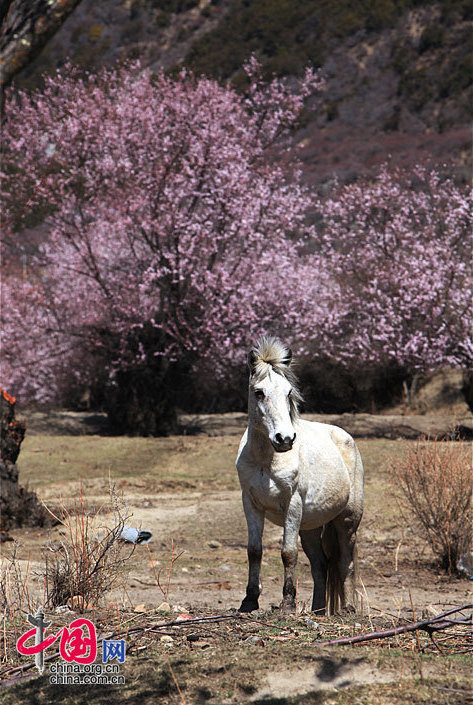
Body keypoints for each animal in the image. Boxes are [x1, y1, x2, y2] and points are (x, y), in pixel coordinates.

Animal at [238, 338, 364, 612]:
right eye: (259, 392)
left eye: (288, 393)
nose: (284, 439)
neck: (266, 460)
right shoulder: (251, 504)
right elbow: (254, 551)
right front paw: (249, 600)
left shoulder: (292, 505)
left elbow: (288, 553)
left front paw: (287, 603)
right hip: (310, 527)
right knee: (320, 565)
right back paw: (318, 611)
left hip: (347, 521)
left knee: (345, 562)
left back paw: (348, 609)